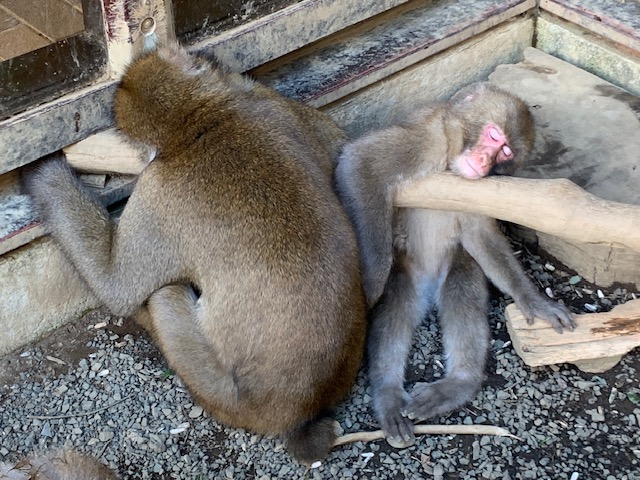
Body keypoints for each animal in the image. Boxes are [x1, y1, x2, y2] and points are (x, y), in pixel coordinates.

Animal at [26, 46, 364, 464]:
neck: (203, 119)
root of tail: (299, 408)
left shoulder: (157, 191)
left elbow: (116, 285)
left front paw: (46, 174)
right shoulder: (270, 105)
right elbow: (342, 148)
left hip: (220, 392)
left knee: (163, 293)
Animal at [336, 81, 576, 446]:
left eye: (506, 153)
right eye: (493, 135)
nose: (484, 160)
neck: (452, 163)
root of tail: (429, 285)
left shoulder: (480, 192)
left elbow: (480, 236)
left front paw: (535, 300)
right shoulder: (428, 139)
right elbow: (359, 163)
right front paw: (373, 280)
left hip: (456, 265)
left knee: (463, 292)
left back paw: (457, 383)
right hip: (409, 272)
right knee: (394, 305)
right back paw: (388, 393)